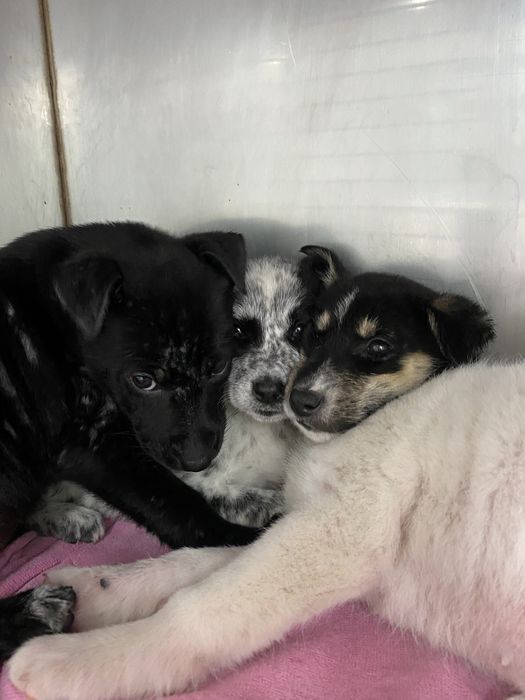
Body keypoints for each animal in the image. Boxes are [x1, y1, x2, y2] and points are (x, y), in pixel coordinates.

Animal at [0, 221, 260, 661]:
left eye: (218, 367)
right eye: (143, 380)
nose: (198, 459)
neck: (57, 324)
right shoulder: (93, 446)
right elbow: (174, 501)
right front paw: (238, 543)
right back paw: (35, 611)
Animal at [27, 256, 306, 540]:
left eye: (299, 331)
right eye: (237, 332)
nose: (270, 391)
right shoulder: (200, 483)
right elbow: (262, 500)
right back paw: (70, 519)